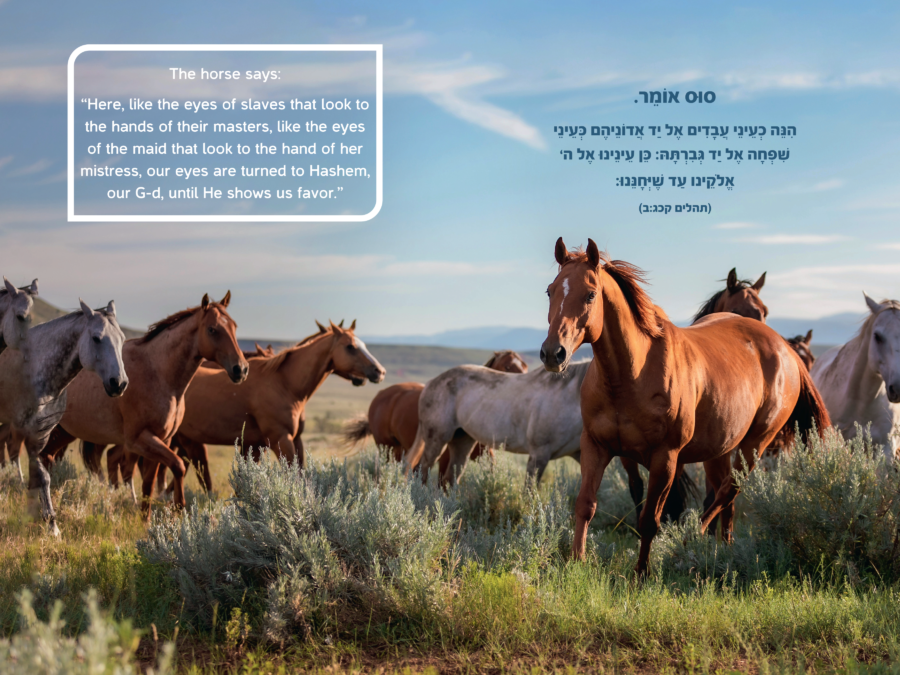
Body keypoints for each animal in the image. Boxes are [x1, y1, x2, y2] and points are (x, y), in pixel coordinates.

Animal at [0, 300, 127, 535]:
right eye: (96, 338)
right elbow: (42, 476)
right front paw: (51, 525)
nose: (119, 383)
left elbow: (39, 475)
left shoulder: (40, 435)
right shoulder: (29, 432)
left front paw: (43, 519)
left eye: (122, 339)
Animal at [38, 293, 248, 518]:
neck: (157, 373)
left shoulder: (162, 439)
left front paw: (145, 519)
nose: (241, 369)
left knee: (46, 457)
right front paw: (178, 508)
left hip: (64, 432)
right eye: (212, 329)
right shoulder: (139, 440)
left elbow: (149, 482)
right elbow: (177, 466)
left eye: (234, 326)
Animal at [343, 350, 529, 476]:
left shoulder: (483, 456)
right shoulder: (445, 459)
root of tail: (381, 395)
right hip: (387, 449)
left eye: (526, 368)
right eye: (507, 366)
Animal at [401, 360, 589, 486]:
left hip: (462, 440)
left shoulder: (580, 453)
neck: (567, 396)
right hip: (437, 440)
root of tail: (430, 383)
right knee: (420, 471)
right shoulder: (539, 453)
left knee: (450, 478)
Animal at [540, 238, 829, 575]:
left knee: (728, 490)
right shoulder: (597, 446)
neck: (630, 375)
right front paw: (576, 562)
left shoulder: (666, 458)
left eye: (590, 294)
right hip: (721, 449)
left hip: (755, 444)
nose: (553, 353)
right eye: (550, 290)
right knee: (726, 497)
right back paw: (723, 547)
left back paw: (688, 541)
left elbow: (651, 519)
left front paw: (640, 575)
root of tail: (786, 349)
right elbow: (586, 505)